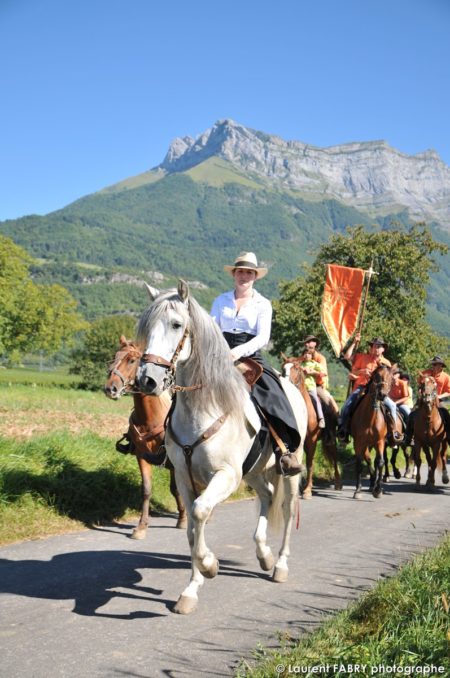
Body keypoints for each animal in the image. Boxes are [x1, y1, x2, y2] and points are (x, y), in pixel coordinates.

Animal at [104, 338, 185, 540]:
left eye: (132, 360)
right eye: (115, 357)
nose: (110, 388)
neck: (152, 417)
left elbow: (178, 488)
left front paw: (184, 519)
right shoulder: (142, 456)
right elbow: (147, 490)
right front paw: (141, 527)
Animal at [135, 282, 308, 616]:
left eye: (176, 325)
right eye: (146, 327)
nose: (147, 380)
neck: (202, 407)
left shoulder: (226, 475)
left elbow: (201, 512)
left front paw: (209, 564)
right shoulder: (184, 478)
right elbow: (192, 529)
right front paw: (190, 590)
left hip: (290, 469)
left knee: (287, 506)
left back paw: (279, 564)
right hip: (253, 471)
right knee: (267, 496)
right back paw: (264, 554)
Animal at [284, 358, 342, 496]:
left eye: (296, 369)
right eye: (283, 368)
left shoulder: (311, 440)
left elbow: (310, 463)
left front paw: (307, 490)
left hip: (331, 440)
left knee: (335, 457)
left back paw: (338, 483)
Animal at [350, 364, 396, 502]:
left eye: (391, 379)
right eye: (376, 376)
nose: (382, 395)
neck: (370, 417)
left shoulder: (380, 441)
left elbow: (380, 462)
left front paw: (378, 490)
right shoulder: (359, 442)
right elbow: (360, 464)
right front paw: (358, 490)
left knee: (374, 461)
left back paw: (374, 484)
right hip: (365, 444)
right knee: (369, 459)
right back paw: (371, 483)